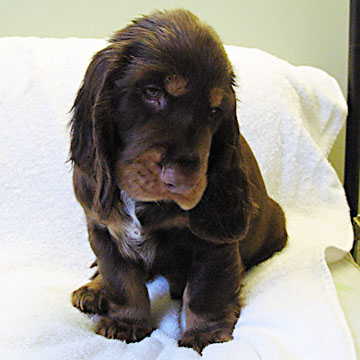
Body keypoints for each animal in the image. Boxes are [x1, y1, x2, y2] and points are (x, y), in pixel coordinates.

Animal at [69, 9, 286, 354]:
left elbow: (204, 292)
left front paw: (205, 335)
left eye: (214, 111)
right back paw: (94, 289)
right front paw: (126, 323)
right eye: (152, 92)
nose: (182, 180)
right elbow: (120, 280)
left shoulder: (213, 245)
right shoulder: (102, 229)